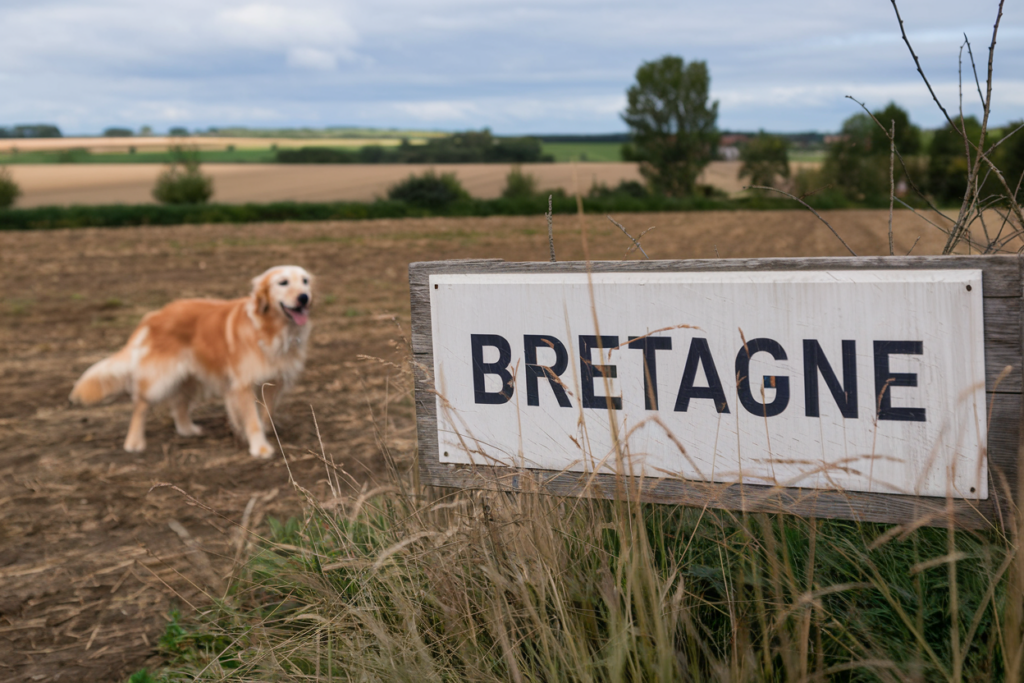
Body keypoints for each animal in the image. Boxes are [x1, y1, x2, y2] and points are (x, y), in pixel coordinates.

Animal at [69, 266, 311, 458]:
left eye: (305, 281)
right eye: (283, 282)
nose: (304, 297)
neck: (268, 329)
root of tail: (154, 315)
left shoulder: (274, 381)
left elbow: (265, 414)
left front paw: (262, 432)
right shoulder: (243, 384)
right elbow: (252, 420)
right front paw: (260, 448)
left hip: (190, 376)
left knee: (179, 404)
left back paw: (187, 430)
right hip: (161, 376)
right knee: (141, 404)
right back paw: (134, 442)